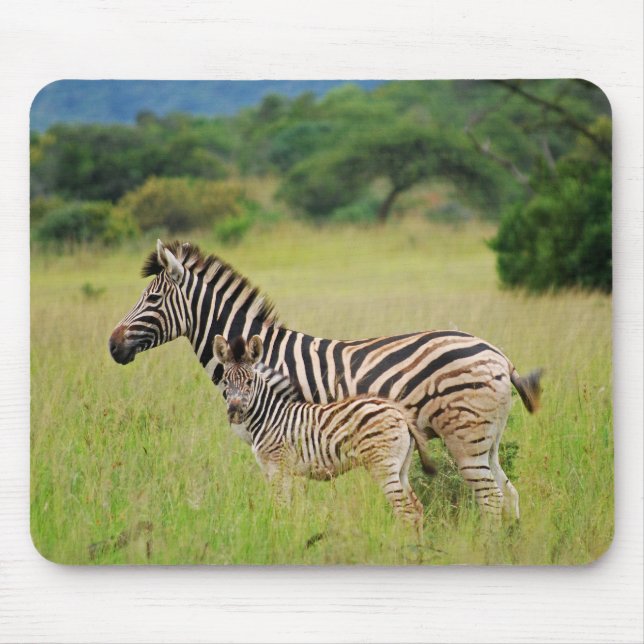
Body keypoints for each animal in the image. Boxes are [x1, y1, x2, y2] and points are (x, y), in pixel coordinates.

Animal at [213, 334, 425, 532]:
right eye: (225, 381)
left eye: (249, 382)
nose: (234, 411)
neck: (270, 416)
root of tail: (399, 412)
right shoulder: (274, 470)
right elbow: (283, 507)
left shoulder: (278, 466)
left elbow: (281, 508)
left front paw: (281, 535)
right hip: (400, 467)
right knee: (417, 508)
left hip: (383, 466)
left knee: (405, 511)